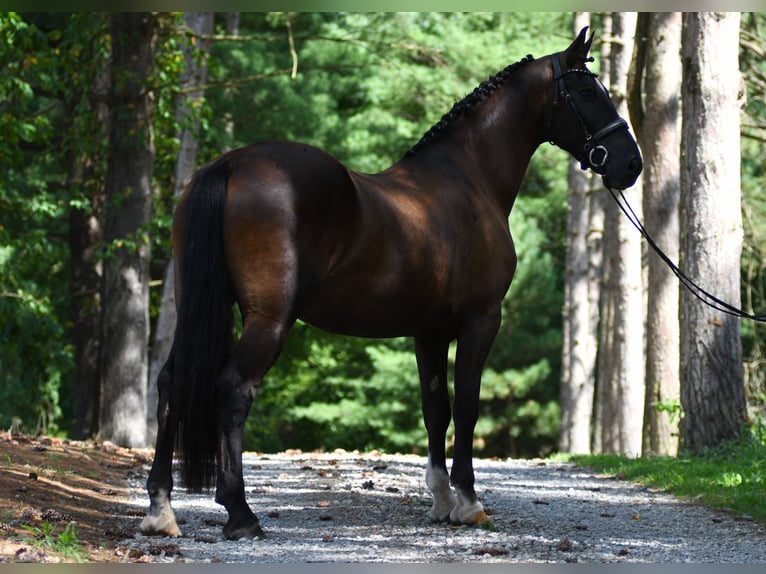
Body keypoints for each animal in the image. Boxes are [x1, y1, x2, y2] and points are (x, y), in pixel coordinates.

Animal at [142, 25, 640, 540]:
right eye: (588, 92)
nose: (630, 164)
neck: (469, 180)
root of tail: (231, 165)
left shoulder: (430, 331)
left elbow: (436, 408)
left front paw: (441, 501)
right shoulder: (481, 321)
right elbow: (467, 406)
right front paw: (468, 502)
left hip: (194, 308)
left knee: (170, 383)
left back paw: (161, 508)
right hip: (269, 319)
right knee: (233, 389)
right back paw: (240, 513)